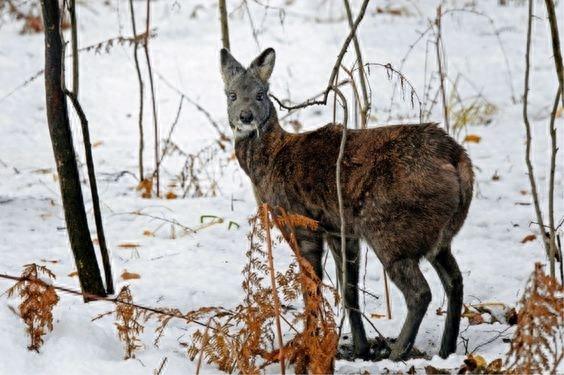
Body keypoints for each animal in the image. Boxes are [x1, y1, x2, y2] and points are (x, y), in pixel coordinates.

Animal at [220, 47, 472, 362]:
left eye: (260, 94)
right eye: (231, 94)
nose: (246, 117)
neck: (270, 161)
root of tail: (457, 159)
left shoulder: (300, 220)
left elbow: (311, 285)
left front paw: (307, 345)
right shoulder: (340, 229)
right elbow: (349, 290)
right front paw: (360, 349)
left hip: (390, 230)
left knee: (420, 292)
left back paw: (397, 353)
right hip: (437, 236)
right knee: (455, 280)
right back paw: (446, 350)